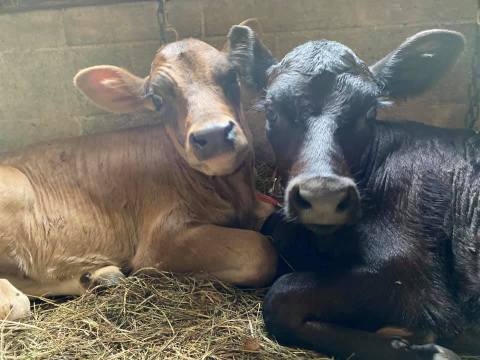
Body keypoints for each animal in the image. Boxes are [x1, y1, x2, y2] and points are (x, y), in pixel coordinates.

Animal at [0, 27, 278, 320]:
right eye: (157, 99)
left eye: (232, 76)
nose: (212, 135)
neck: (234, 197)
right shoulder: (161, 239)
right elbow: (260, 251)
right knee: (15, 303)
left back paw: (99, 277)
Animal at [229, 23, 480, 358]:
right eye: (272, 111)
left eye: (369, 111)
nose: (323, 195)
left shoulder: (411, 275)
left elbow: (280, 296)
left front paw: (427, 349)